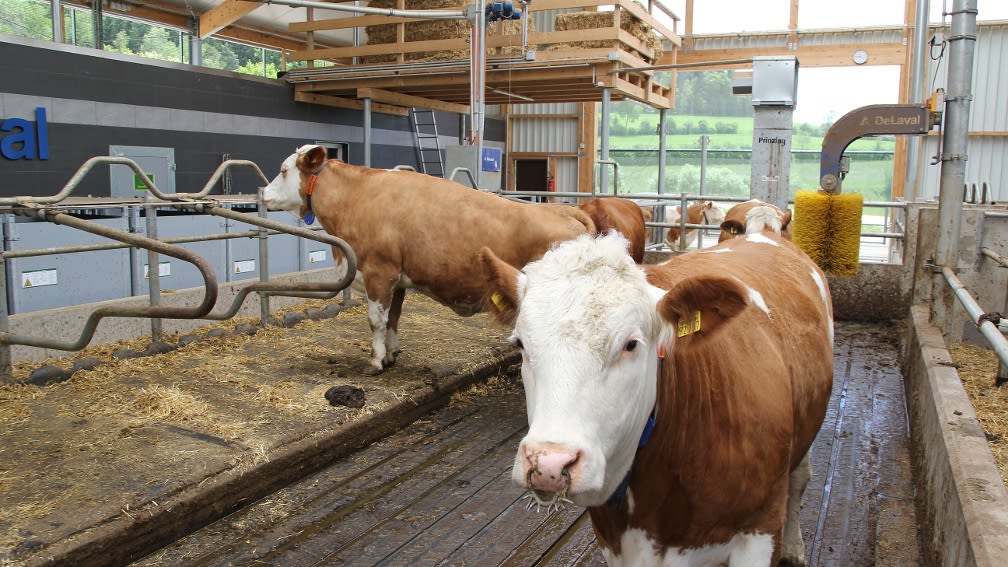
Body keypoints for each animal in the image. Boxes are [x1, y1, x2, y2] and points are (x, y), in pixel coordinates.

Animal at [260, 145, 592, 373]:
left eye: (284, 169)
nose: (262, 193)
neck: (357, 197)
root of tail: (566, 210)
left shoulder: (378, 271)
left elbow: (375, 320)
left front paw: (375, 361)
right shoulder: (397, 279)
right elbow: (393, 319)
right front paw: (391, 355)